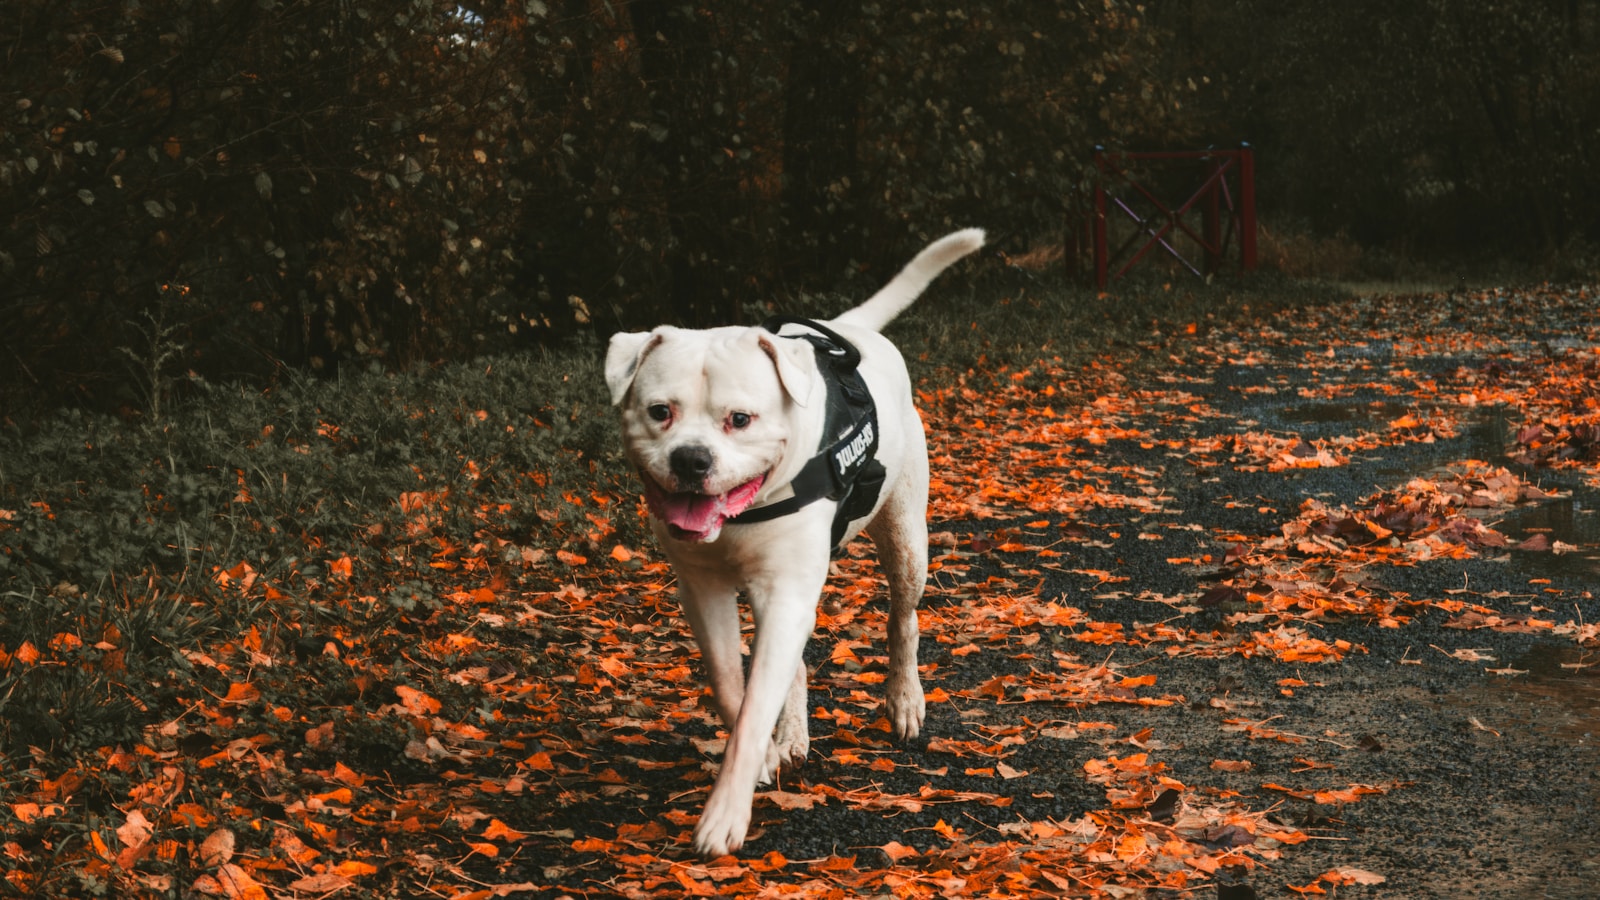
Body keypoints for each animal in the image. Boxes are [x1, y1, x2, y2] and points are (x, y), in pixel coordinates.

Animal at [604, 227, 979, 851]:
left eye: (740, 419)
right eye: (660, 412)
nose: (691, 459)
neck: (742, 514)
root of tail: (849, 329)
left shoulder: (785, 591)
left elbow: (756, 703)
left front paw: (724, 814)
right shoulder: (704, 592)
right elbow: (732, 685)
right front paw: (762, 758)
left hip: (906, 538)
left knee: (903, 617)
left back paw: (904, 701)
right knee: (797, 665)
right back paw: (794, 735)